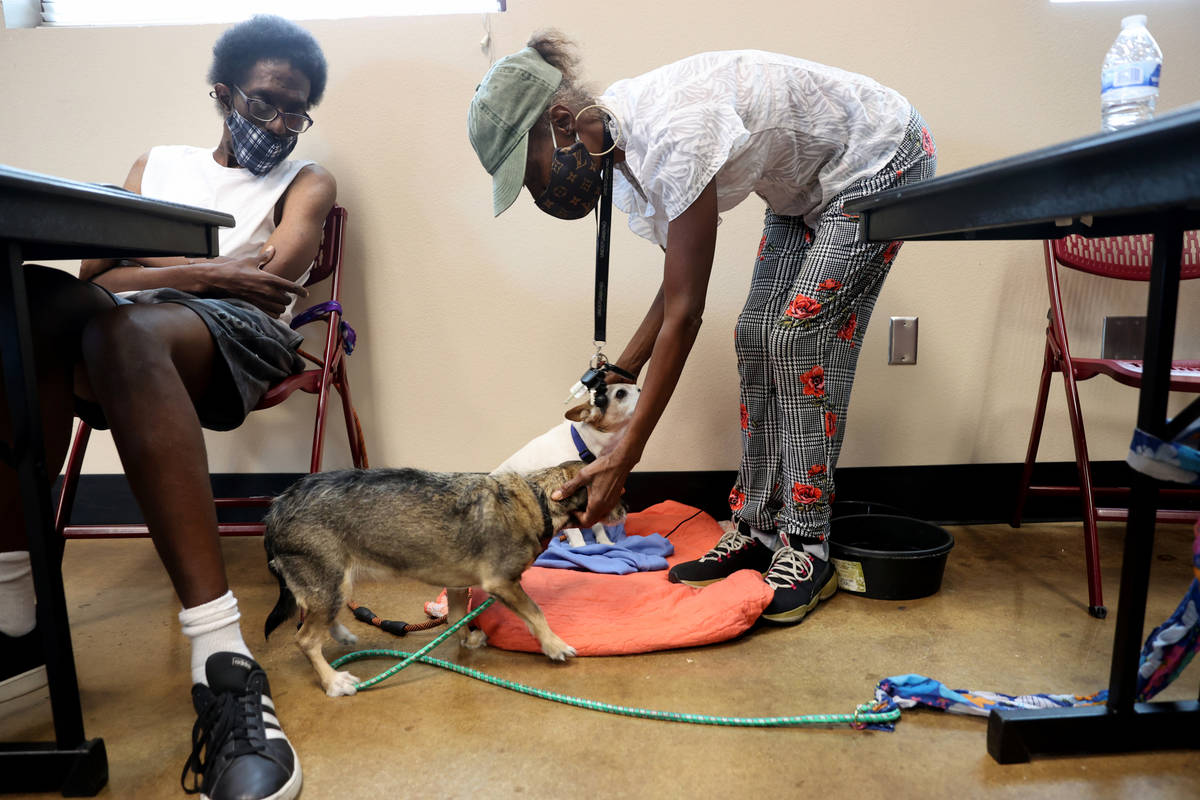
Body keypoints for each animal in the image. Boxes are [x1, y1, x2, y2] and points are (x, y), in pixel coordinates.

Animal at [492, 383, 643, 551]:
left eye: (635, 388)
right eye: (620, 393)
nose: (642, 390)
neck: (581, 443)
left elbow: (597, 524)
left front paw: (604, 541)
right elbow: (575, 531)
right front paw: (580, 548)